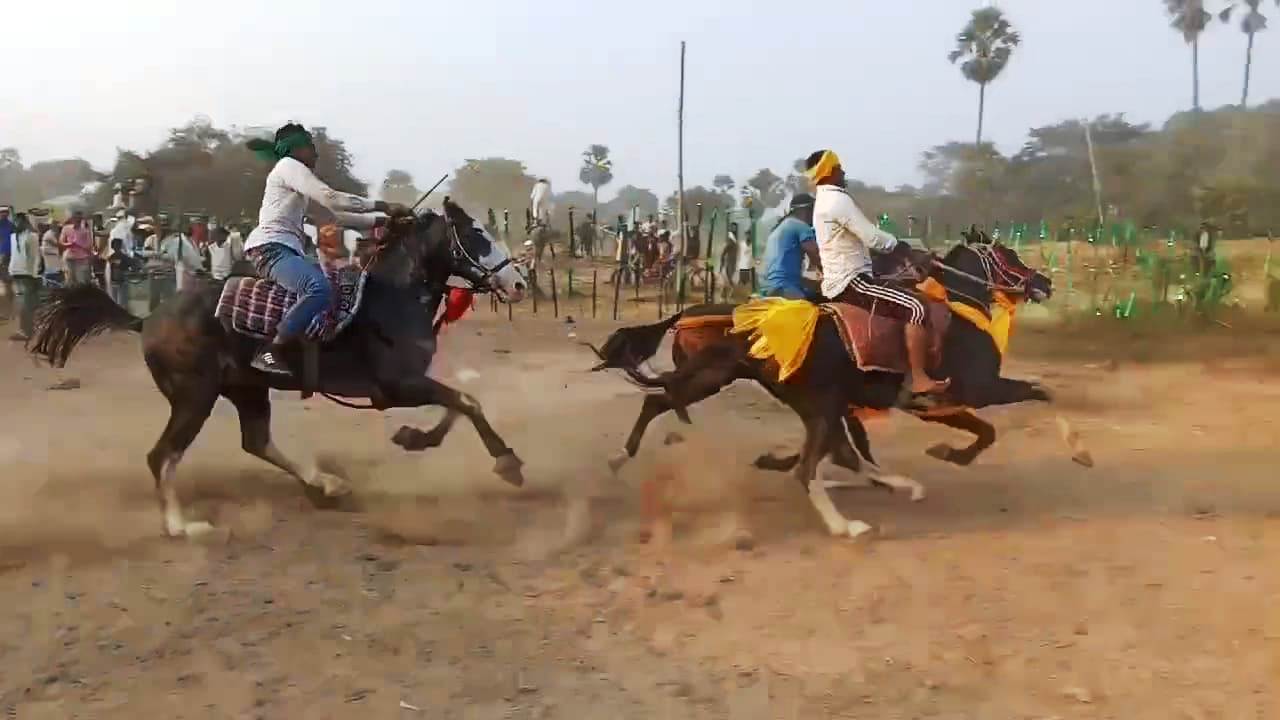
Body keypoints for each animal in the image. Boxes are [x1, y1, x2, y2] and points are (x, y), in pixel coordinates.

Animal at [31, 198, 529, 535]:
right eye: (477, 234)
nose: (519, 282)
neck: (392, 297)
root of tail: (146, 319)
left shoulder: (404, 385)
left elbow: (458, 401)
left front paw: (415, 437)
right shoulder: (393, 386)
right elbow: (465, 400)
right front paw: (507, 462)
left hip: (246, 390)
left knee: (255, 441)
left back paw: (326, 485)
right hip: (194, 397)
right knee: (163, 455)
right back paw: (183, 526)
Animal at [586, 229, 1085, 538]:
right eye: (1008, 256)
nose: (1043, 282)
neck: (959, 312)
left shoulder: (941, 403)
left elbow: (987, 428)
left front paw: (946, 453)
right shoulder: (979, 388)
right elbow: (1036, 397)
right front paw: (1079, 449)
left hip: (743, 385)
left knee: (660, 402)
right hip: (803, 400)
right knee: (811, 465)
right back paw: (848, 525)